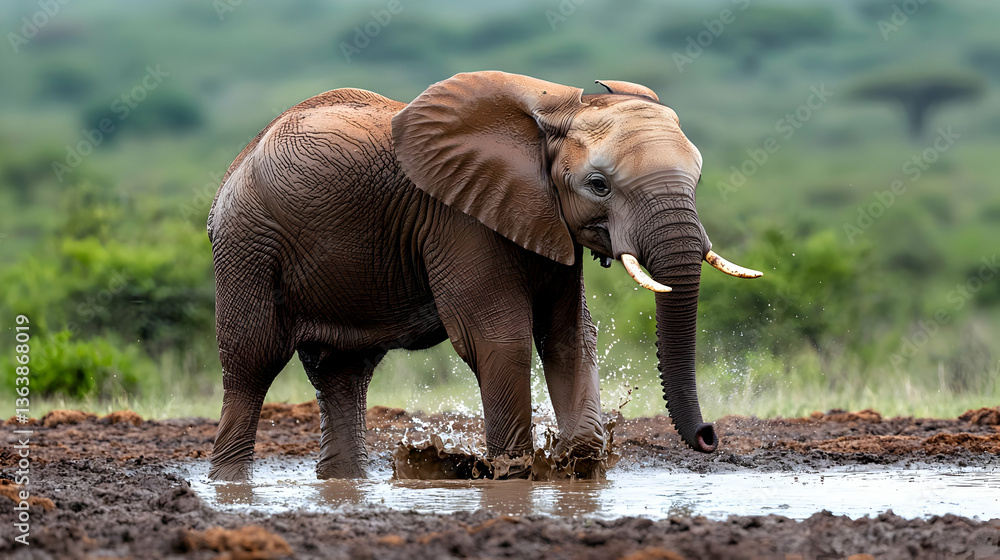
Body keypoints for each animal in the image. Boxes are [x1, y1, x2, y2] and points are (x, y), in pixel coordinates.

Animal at [206, 71, 760, 481]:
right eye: (599, 185)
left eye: (698, 179)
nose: (710, 437)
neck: (555, 114)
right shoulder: (461, 219)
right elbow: (499, 339)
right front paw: (514, 475)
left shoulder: (545, 221)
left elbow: (570, 337)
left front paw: (578, 466)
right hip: (247, 243)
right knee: (252, 361)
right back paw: (229, 485)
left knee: (344, 372)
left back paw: (343, 482)